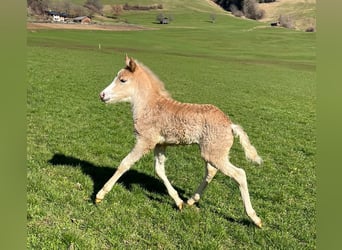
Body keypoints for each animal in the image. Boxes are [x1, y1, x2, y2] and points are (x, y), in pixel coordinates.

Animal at [97, 55, 264, 228]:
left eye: (123, 80)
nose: (102, 95)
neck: (149, 105)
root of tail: (230, 125)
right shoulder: (160, 144)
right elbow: (159, 170)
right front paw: (178, 201)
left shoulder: (145, 141)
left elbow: (125, 163)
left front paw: (100, 195)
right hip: (211, 152)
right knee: (211, 171)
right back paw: (191, 200)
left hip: (214, 154)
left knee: (239, 174)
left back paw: (255, 218)